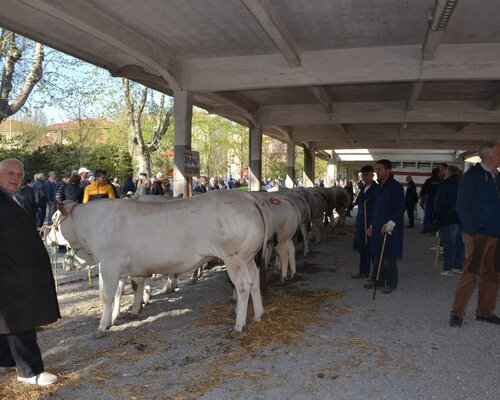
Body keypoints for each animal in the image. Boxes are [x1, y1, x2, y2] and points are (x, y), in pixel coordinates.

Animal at [47, 191, 268, 338]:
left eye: (54, 220)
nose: (48, 238)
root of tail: (247, 198)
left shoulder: (109, 264)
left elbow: (107, 296)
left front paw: (102, 326)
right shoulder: (121, 269)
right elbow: (121, 292)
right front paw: (119, 316)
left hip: (234, 259)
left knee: (243, 286)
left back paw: (239, 325)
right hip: (248, 258)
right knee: (255, 281)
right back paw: (258, 315)